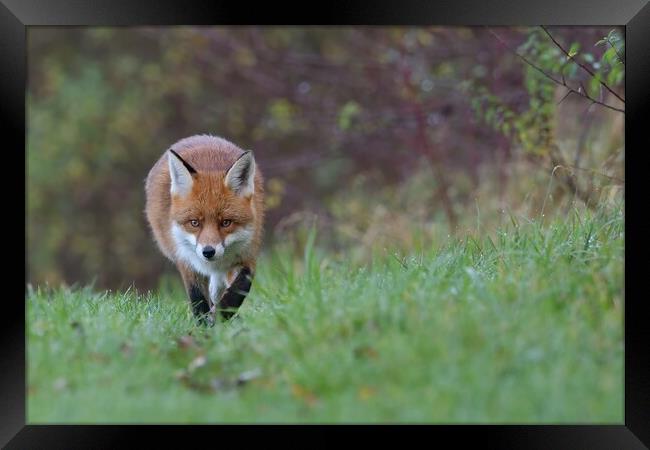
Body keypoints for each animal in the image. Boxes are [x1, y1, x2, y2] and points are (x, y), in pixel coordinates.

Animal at [144, 134, 264, 324]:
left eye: (226, 222)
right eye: (194, 223)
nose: (208, 252)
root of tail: (199, 137)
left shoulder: (248, 255)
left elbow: (240, 288)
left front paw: (222, 315)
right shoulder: (185, 259)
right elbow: (197, 298)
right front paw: (203, 325)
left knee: (217, 288)